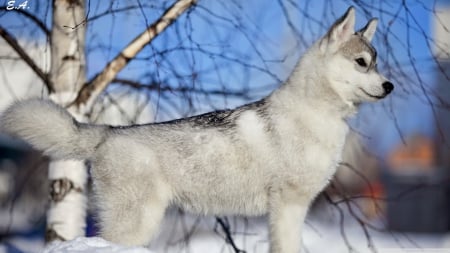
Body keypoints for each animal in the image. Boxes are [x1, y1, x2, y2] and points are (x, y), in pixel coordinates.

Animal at [0, 6, 394, 253]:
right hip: (137, 221)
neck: (315, 113)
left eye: (377, 64)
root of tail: (108, 132)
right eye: (362, 63)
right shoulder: (288, 205)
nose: (390, 86)